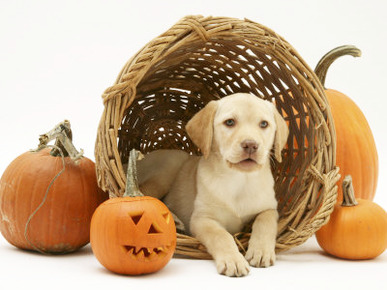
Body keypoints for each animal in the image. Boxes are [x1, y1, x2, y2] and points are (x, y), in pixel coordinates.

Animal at [136, 93, 288, 276]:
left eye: (264, 124)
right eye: (229, 122)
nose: (251, 145)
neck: (239, 180)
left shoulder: (270, 208)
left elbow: (265, 221)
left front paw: (261, 251)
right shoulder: (202, 219)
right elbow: (221, 235)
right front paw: (233, 260)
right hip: (167, 169)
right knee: (143, 194)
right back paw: (175, 220)